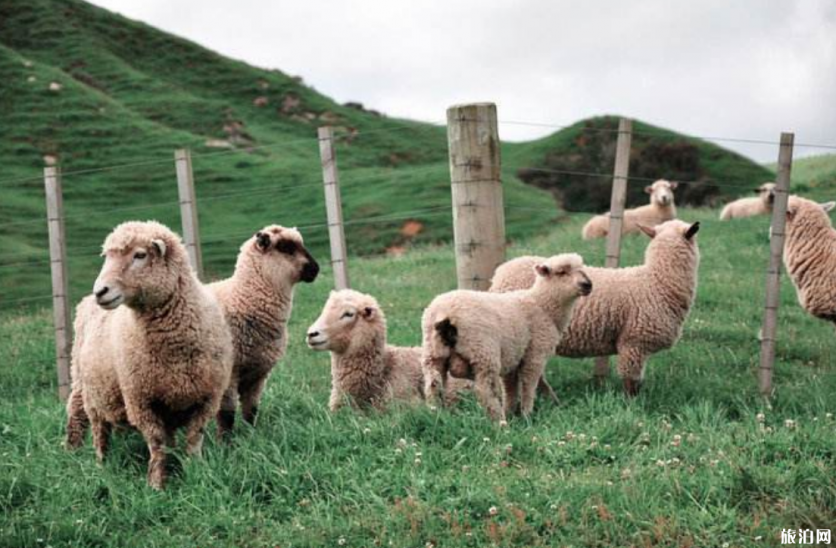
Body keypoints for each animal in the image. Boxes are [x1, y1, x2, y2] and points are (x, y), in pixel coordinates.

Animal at [62, 222, 233, 488]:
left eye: (140, 255)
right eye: (107, 257)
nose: (101, 291)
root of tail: (85, 302)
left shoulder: (206, 398)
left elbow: (193, 440)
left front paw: (197, 473)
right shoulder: (141, 400)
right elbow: (157, 444)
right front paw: (157, 484)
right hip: (86, 388)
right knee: (93, 427)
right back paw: (97, 464)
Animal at [211, 225, 322, 434]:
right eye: (285, 247)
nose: (315, 269)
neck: (241, 297)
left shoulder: (257, 374)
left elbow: (251, 410)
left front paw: (252, 435)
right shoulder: (229, 373)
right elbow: (227, 414)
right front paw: (226, 441)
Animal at [422, 255, 592, 422]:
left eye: (581, 269)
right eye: (562, 272)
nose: (588, 284)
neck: (543, 306)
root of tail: (444, 313)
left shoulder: (512, 356)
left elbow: (510, 387)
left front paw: (511, 412)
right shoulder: (535, 353)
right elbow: (528, 384)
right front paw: (526, 414)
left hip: (434, 353)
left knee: (433, 385)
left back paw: (438, 416)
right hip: (483, 351)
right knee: (485, 390)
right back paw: (500, 422)